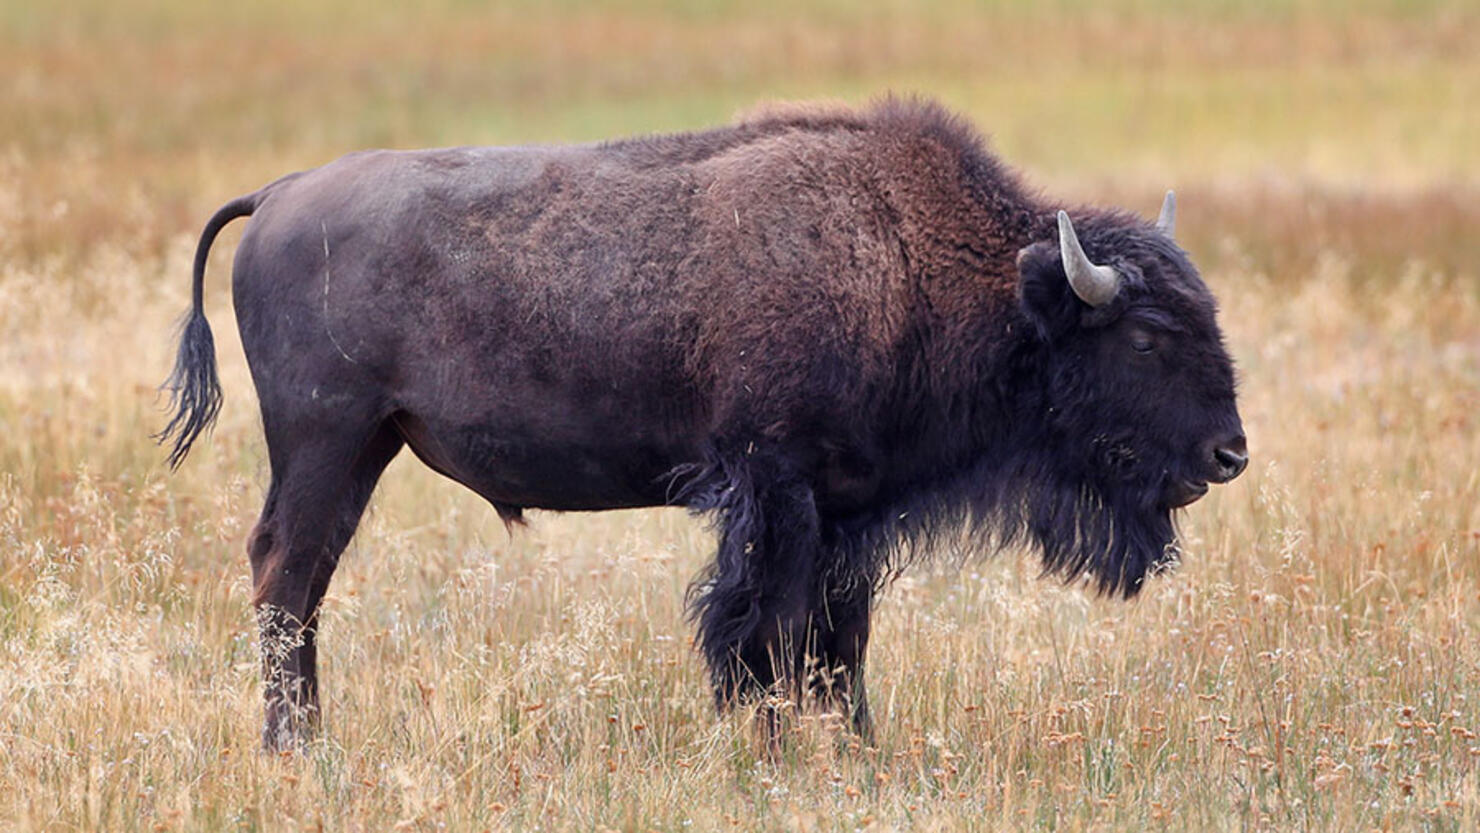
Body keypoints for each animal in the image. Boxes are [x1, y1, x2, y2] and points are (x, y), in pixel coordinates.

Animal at [159, 97, 1249, 748]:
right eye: (1146, 335)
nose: (1229, 451)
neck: (913, 261)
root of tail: (280, 194)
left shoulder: (847, 516)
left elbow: (837, 638)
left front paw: (852, 742)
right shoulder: (773, 489)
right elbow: (760, 628)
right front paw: (763, 743)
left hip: (359, 448)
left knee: (300, 580)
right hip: (326, 442)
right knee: (285, 573)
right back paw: (295, 743)